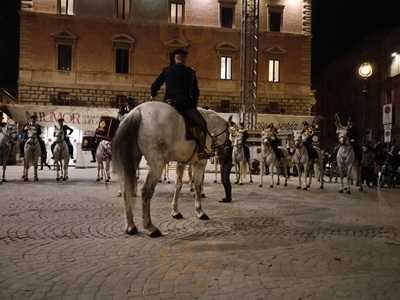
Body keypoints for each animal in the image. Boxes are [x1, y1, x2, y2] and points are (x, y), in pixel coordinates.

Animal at [112, 102, 230, 238]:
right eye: (229, 134)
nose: (226, 151)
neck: (208, 124)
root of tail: (138, 111)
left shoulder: (182, 162)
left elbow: (178, 185)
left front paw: (175, 211)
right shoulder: (200, 163)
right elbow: (197, 185)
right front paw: (200, 211)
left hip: (132, 161)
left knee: (126, 189)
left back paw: (130, 226)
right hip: (157, 164)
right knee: (146, 191)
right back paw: (150, 227)